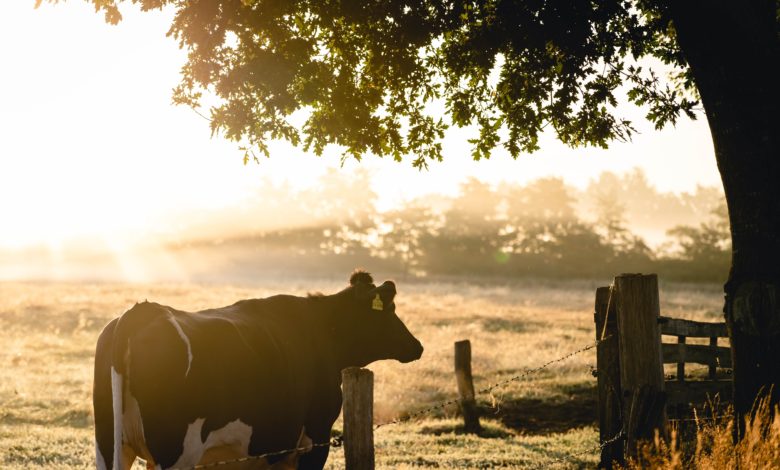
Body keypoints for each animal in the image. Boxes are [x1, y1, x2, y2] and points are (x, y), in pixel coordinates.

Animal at [93, 270, 424, 470]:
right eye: (390, 310)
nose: (417, 346)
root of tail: (143, 311)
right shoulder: (313, 439)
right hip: (176, 454)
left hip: (110, 446)